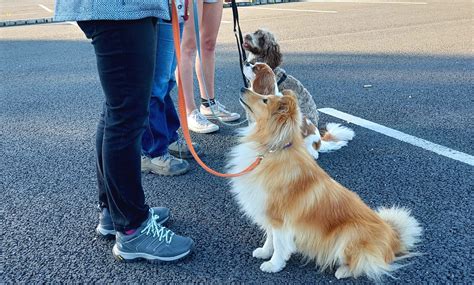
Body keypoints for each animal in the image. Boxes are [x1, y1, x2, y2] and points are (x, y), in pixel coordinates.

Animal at [230, 88, 422, 280]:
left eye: (264, 100)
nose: (242, 88)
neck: (271, 150)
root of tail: (394, 239)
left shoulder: (279, 219)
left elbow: (279, 244)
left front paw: (273, 265)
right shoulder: (268, 213)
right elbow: (270, 238)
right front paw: (264, 252)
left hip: (349, 234)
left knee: (365, 263)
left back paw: (342, 271)